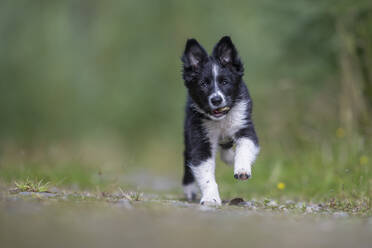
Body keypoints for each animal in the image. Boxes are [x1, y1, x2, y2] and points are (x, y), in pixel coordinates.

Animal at [180, 35, 258, 205]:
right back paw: (189, 189)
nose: (216, 100)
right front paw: (211, 198)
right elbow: (204, 170)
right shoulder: (199, 136)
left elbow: (244, 147)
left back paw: (230, 158)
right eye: (203, 84)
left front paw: (242, 169)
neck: (221, 120)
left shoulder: (245, 126)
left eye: (225, 82)